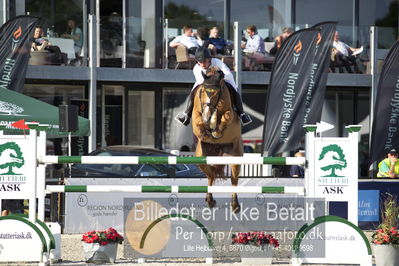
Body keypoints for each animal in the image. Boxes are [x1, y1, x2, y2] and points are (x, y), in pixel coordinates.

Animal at [191, 66, 244, 212]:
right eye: (203, 91)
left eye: (217, 93)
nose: (207, 117)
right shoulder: (196, 113)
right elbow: (197, 122)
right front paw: (205, 131)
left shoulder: (229, 113)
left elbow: (226, 116)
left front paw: (215, 130)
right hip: (202, 157)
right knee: (211, 175)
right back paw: (210, 200)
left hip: (235, 155)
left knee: (234, 179)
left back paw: (235, 205)